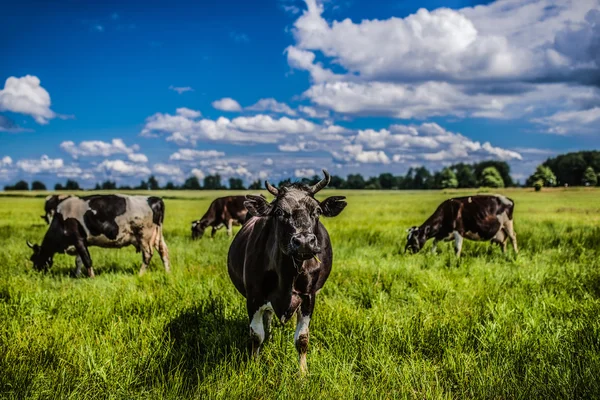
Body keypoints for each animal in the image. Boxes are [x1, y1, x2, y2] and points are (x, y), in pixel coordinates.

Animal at [27, 195, 170, 276]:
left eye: (34, 258)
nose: (35, 273)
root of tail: (155, 199)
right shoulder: (81, 242)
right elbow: (78, 261)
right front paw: (77, 276)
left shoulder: (78, 239)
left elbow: (87, 260)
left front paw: (91, 277)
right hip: (157, 235)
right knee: (163, 250)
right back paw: (168, 273)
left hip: (144, 235)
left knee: (147, 255)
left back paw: (140, 275)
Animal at [226, 170, 350, 376]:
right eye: (279, 212)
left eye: (317, 211)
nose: (304, 242)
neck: (287, 274)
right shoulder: (253, 297)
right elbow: (256, 336)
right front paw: (254, 366)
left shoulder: (308, 297)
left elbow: (302, 338)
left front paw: (302, 373)